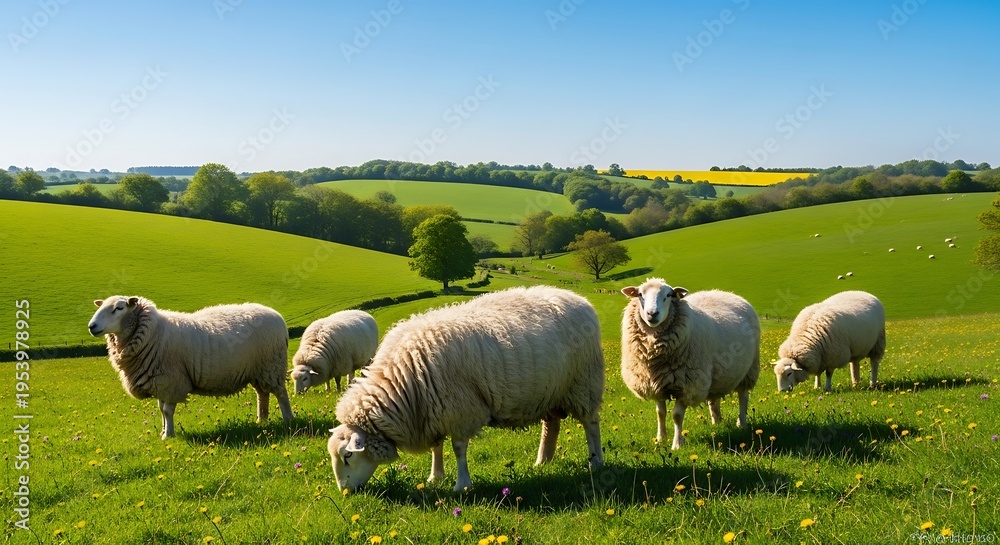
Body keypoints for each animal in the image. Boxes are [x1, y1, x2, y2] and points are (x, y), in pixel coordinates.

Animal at [88, 296, 293, 439]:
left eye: (119, 308)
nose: (92, 326)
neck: (154, 332)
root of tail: (278, 317)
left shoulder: (171, 381)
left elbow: (167, 411)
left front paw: (168, 435)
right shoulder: (160, 381)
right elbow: (161, 409)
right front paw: (163, 431)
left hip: (272, 365)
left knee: (281, 393)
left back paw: (288, 419)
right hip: (259, 370)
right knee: (262, 394)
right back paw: (261, 420)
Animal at [328, 285, 604, 492]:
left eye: (348, 456)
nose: (345, 492)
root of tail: (579, 299)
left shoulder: (460, 410)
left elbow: (459, 449)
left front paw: (462, 485)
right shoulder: (432, 411)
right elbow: (436, 447)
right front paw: (435, 476)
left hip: (584, 382)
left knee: (590, 424)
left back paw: (596, 462)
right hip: (550, 391)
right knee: (551, 425)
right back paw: (543, 461)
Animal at [620, 278, 760, 450]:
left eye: (669, 295)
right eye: (640, 294)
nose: (652, 314)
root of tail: (727, 293)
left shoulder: (687, 385)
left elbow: (677, 416)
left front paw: (677, 444)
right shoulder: (656, 383)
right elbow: (660, 413)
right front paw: (660, 439)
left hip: (749, 370)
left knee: (743, 397)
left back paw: (742, 424)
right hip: (714, 375)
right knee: (713, 399)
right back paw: (716, 422)